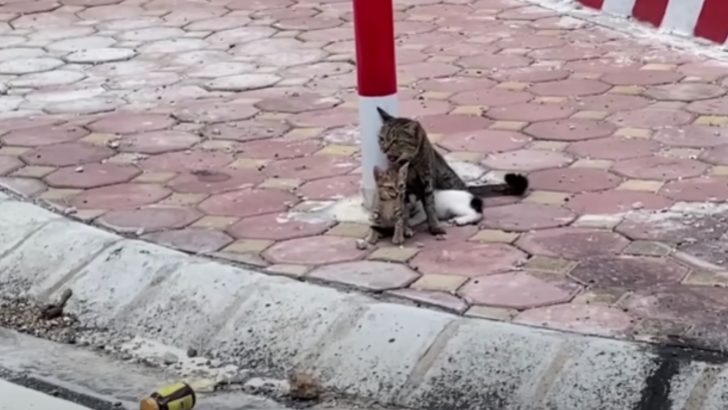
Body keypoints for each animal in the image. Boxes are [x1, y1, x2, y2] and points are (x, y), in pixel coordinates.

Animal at [376, 107, 528, 235]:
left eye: (395, 141)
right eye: (382, 139)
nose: (385, 148)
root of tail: (473, 196)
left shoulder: (424, 204)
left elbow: (421, 215)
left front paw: (411, 223)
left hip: (458, 206)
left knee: (478, 214)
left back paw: (460, 220)